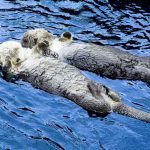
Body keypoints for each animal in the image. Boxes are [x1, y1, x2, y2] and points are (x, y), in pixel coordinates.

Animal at [0, 40, 150, 122]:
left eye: (16, 48)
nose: (16, 57)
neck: (24, 59)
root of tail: (114, 105)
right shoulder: (15, 72)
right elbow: (8, 71)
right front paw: (7, 61)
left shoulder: (37, 54)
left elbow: (41, 51)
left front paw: (43, 43)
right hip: (84, 100)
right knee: (102, 107)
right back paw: (95, 88)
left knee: (114, 99)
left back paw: (105, 89)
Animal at [21, 28, 150, 84]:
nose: (47, 34)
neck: (54, 43)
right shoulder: (55, 55)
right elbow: (49, 52)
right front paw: (43, 43)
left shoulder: (63, 41)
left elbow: (66, 38)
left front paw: (66, 34)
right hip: (133, 71)